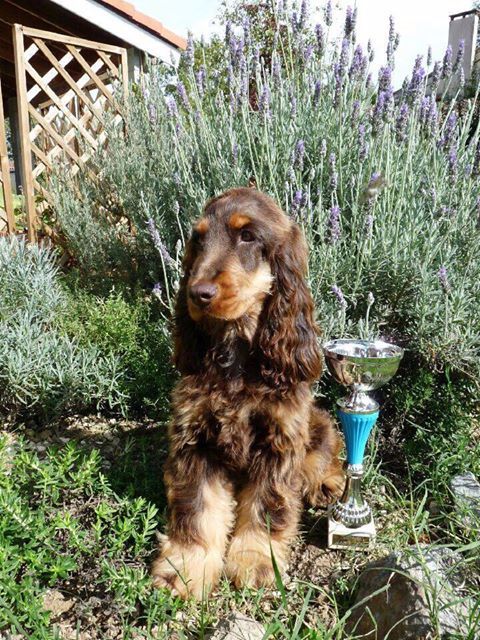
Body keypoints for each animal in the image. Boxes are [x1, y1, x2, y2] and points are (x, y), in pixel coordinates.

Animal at [151, 187, 344, 599]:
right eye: (198, 239)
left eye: (248, 236)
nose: (197, 293)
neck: (237, 354)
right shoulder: (195, 440)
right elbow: (197, 507)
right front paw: (185, 569)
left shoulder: (279, 440)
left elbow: (267, 504)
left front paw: (256, 561)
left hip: (318, 423)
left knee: (323, 456)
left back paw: (328, 483)